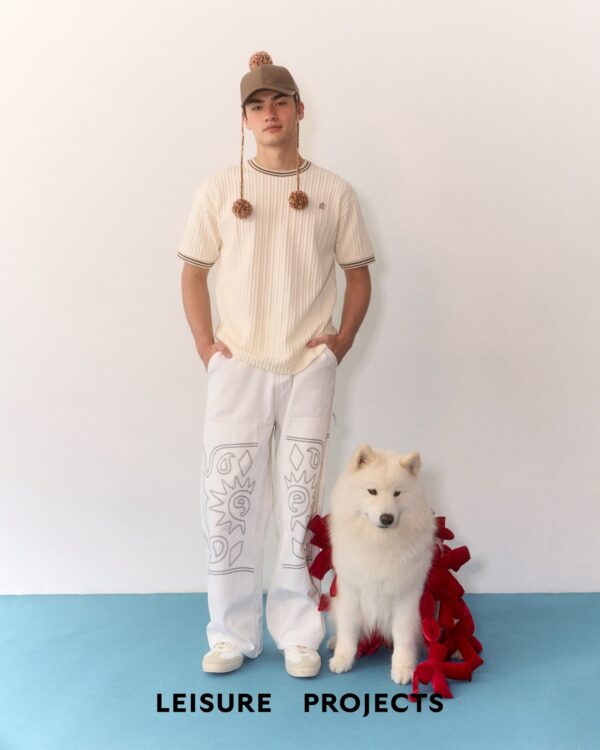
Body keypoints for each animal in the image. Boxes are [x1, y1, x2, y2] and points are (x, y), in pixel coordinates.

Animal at [327, 444, 436, 684]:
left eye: (397, 493)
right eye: (372, 491)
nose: (387, 518)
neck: (379, 543)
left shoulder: (406, 596)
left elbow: (403, 636)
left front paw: (404, 667)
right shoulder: (351, 592)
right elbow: (348, 630)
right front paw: (343, 658)